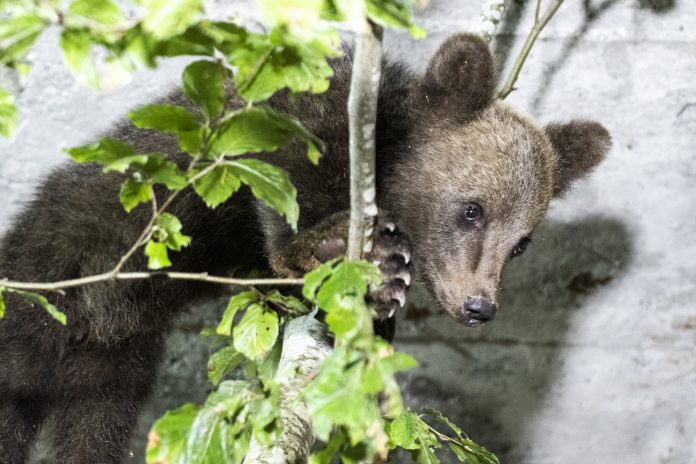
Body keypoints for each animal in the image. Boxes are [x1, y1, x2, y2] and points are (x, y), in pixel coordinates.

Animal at [0, 32, 611, 463]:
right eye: (472, 209)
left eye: (523, 243)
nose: (480, 305)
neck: (385, 160)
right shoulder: (313, 107)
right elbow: (281, 161)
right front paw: (331, 247)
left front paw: (383, 295)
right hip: (38, 289)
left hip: (114, 357)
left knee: (95, 428)